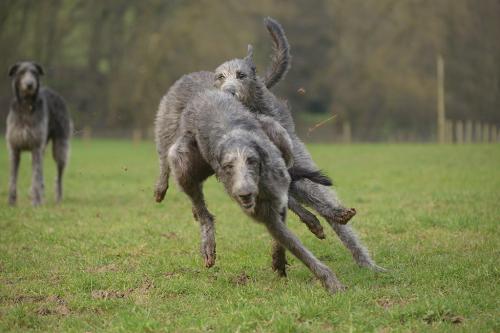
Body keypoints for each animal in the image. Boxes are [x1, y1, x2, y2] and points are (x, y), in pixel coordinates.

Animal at [6, 60, 72, 205]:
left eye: (34, 72)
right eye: (22, 72)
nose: (30, 84)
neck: (26, 106)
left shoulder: (36, 146)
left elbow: (36, 174)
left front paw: (36, 202)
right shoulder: (14, 148)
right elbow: (13, 177)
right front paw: (11, 202)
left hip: (59, 146)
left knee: (58, 174)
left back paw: (57, 197)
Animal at [168, 89, 348, 292]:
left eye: (252, 161)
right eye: (228, 166)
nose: (244, 194)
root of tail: (207, 92)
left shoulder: (274, 183)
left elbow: (284, 227)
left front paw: (280, 259)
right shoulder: (263, 212)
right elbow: (293, 244)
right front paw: (330, 281)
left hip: (277, 132)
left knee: (289, 183)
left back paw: (316, 217)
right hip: (181, 157)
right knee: (200, 206)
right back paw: (207, 236)